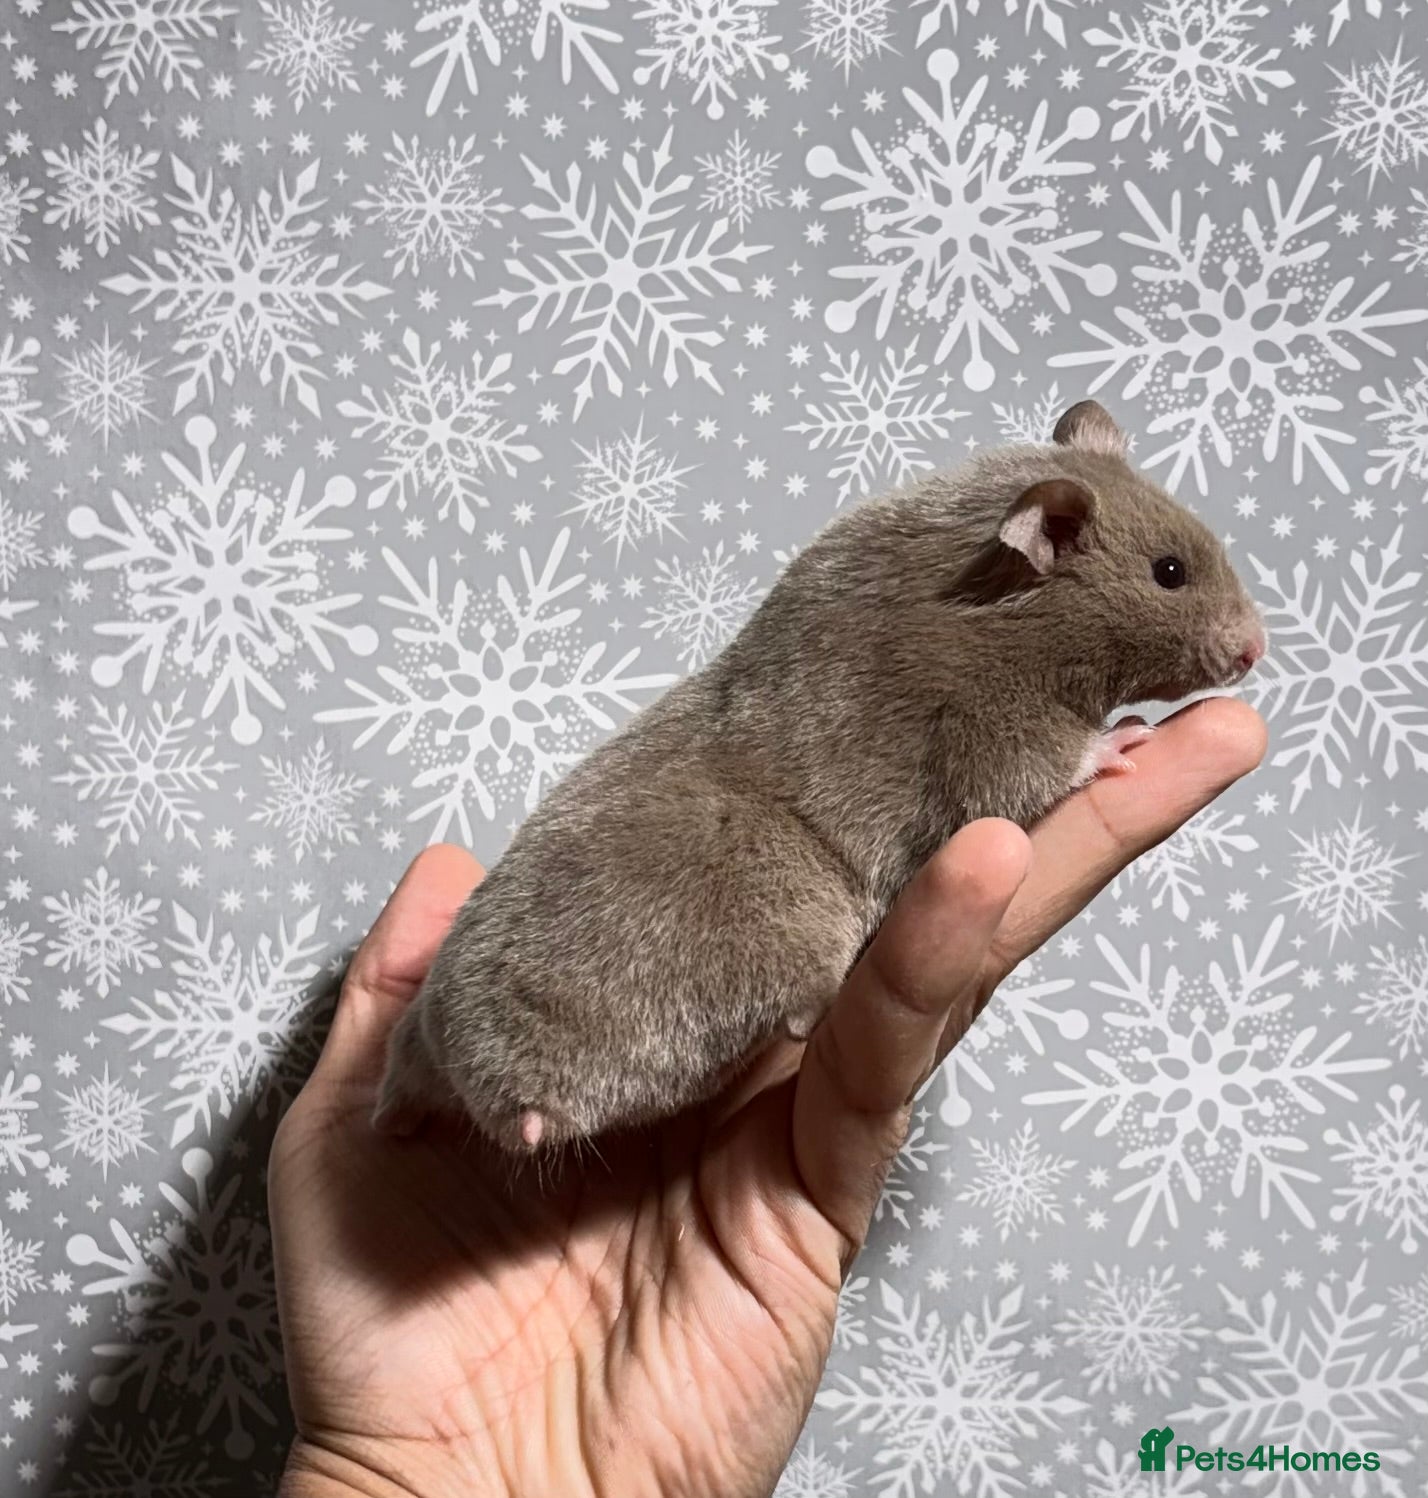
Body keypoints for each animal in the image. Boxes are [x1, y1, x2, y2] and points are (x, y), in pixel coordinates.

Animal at [372, 400, 1267, 1155]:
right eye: (1170, 572)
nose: (1256, 651)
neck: (1001, 600)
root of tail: (496, 1091)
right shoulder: (981, 726)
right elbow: (1038, 764)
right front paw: (1124, 739)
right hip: (784, 911)